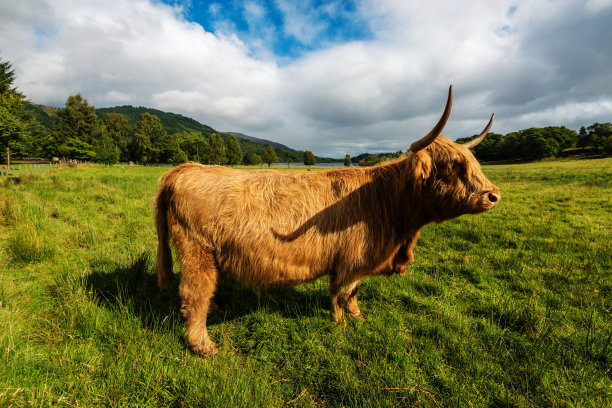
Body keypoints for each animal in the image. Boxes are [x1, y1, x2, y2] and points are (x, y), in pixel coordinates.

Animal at [154, 86, 502, 356]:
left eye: (472, 161)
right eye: (453, 165)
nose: (493, 195)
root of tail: (185, 168)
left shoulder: (359, 259)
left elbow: (355, 292)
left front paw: (358, 317)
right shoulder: (350, 259)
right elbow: (340, 292)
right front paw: (341, 321)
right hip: (197, 251)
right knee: (194, 293)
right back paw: (203, 344)